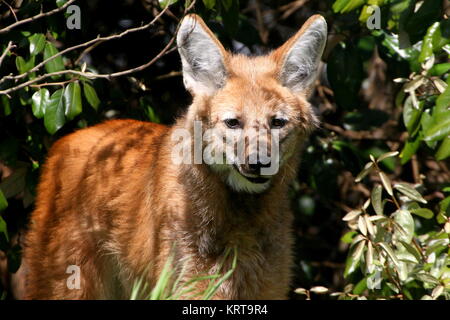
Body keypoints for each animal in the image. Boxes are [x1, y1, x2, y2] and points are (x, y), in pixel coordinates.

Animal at [18, 13, 326, 298]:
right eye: (233, 123)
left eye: (278, 123)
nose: (259, 163)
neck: (240, 220)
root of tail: (68, 138)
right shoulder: (191, 286)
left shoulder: (266, 288)